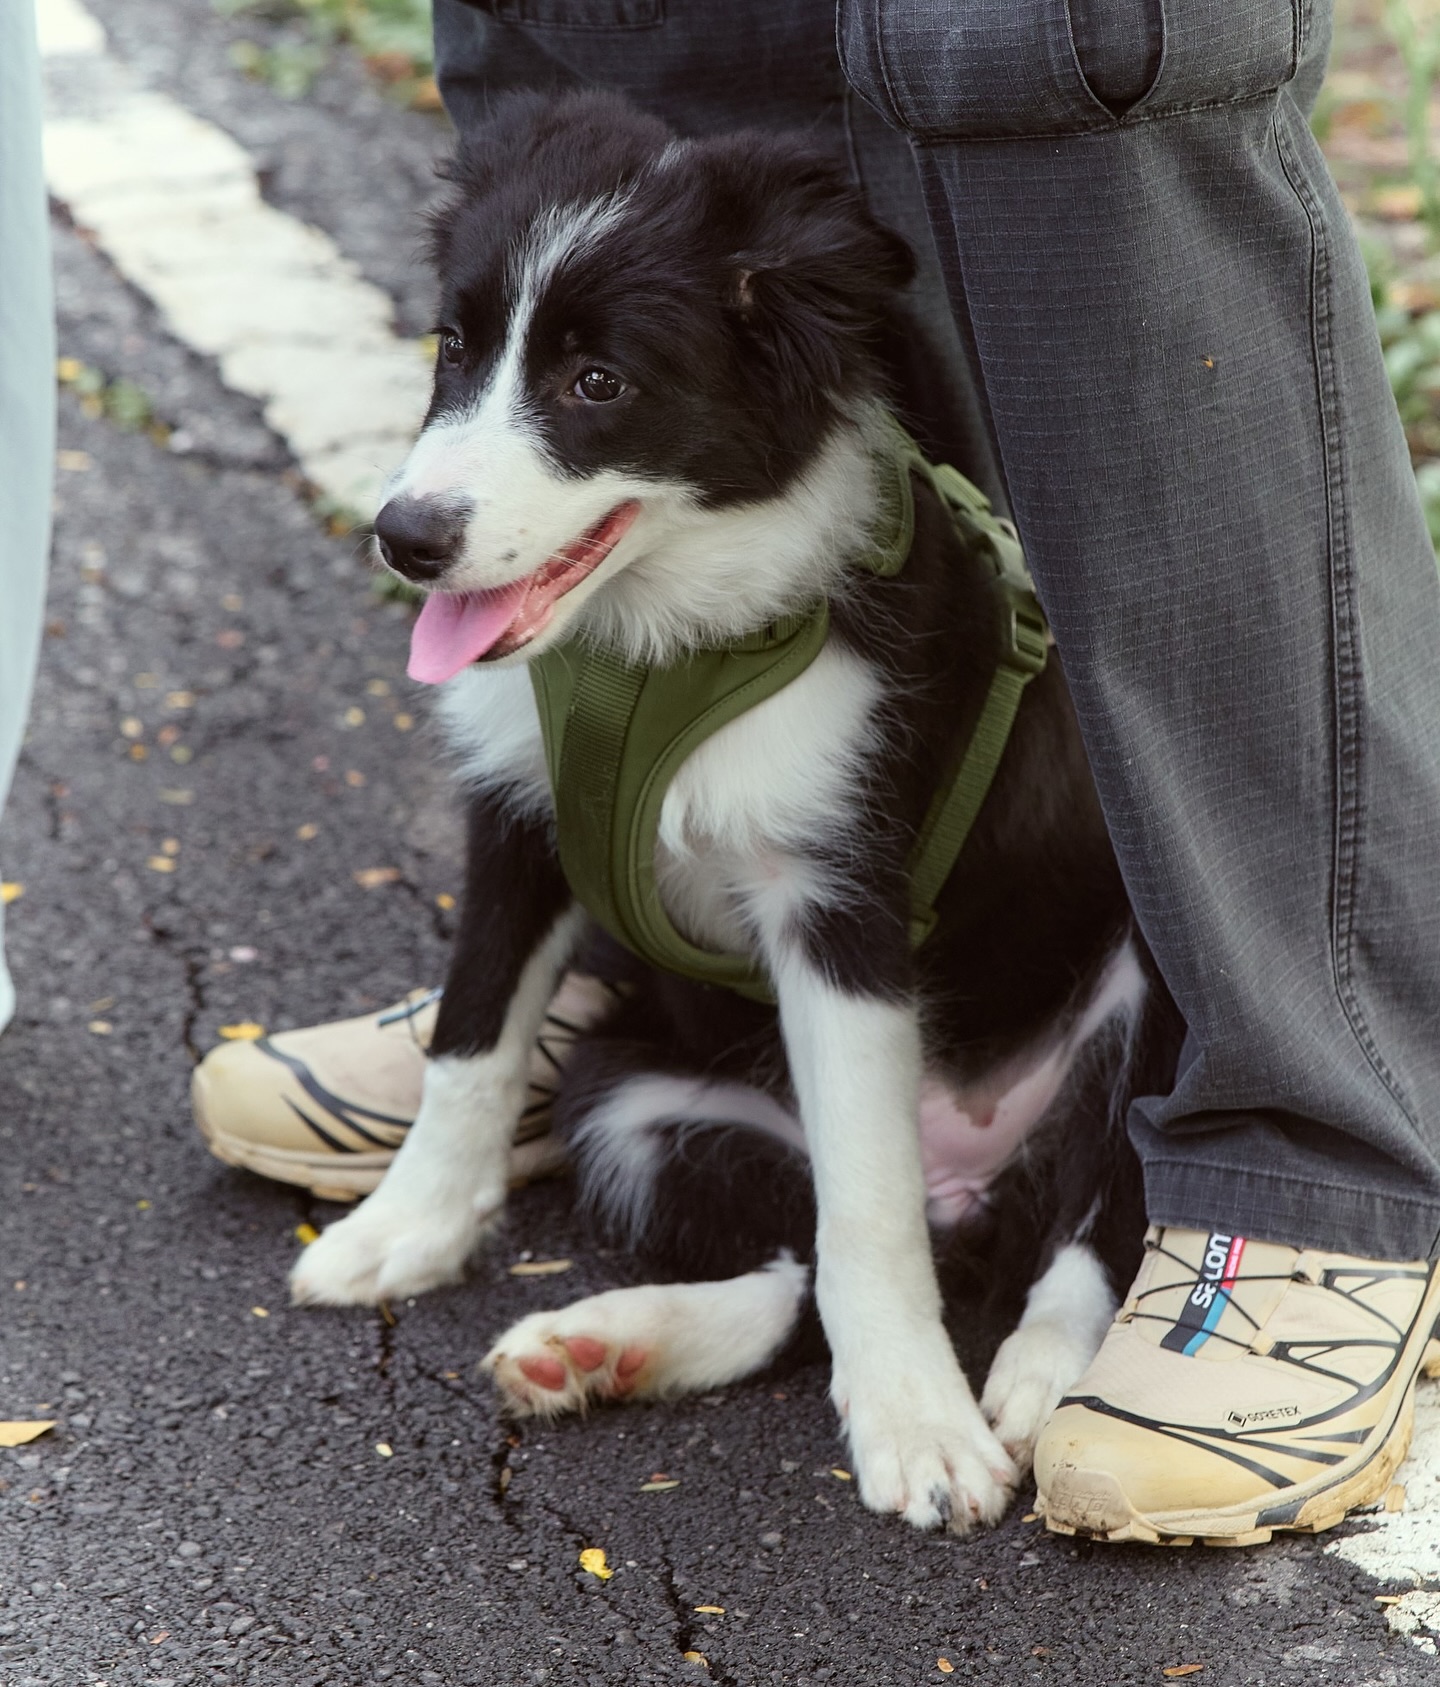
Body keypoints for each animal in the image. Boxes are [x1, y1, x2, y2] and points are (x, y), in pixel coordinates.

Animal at [290, 95, 1187, 1545]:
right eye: (454, 345)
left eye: (599, 383)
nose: (406, 537)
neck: (655, 644)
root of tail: (973, 1182)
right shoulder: (518, 824)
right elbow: (471, 1040)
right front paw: (401, 1230)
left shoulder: (840, 895)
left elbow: (870, 1209)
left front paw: (922, 1431)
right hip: (629, 1102)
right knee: (795, 1269)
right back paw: (605, 1343)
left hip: (1148, 991)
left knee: (1083, 1218)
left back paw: (1042, 1383)